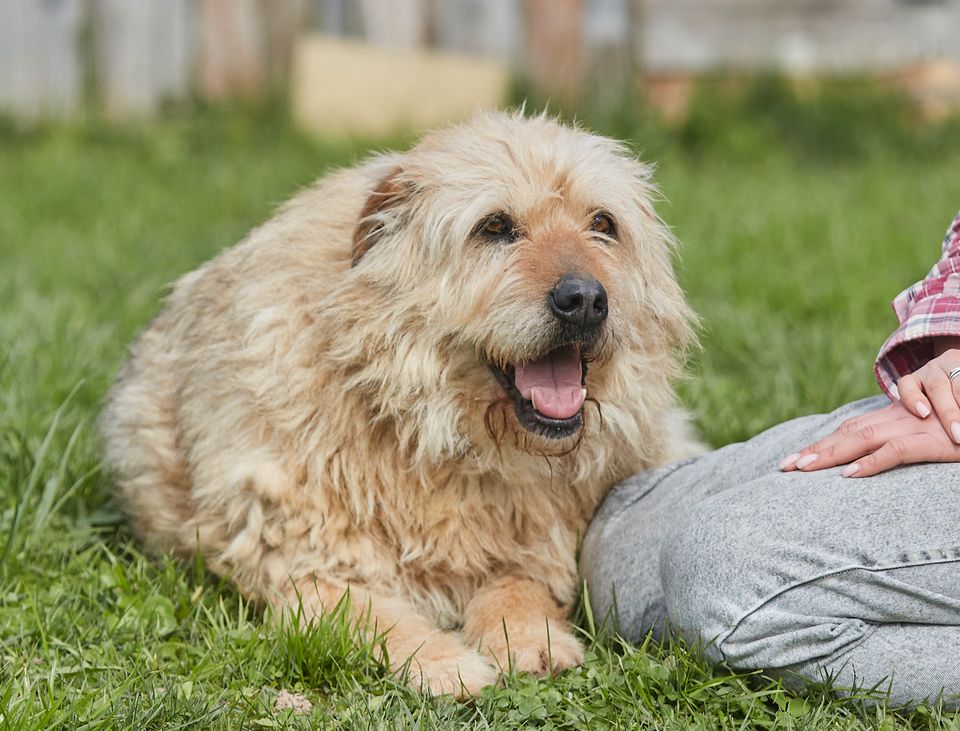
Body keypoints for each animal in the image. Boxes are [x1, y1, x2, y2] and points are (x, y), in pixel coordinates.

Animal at [99, 110, 696, 696]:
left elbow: (517, 583)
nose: (586, 299)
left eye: (603, 224)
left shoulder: (533, 547)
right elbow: (374, 615)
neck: (430, 428)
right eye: (495, 227)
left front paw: (531, 639)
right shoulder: (303, 564)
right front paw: (446, 663)